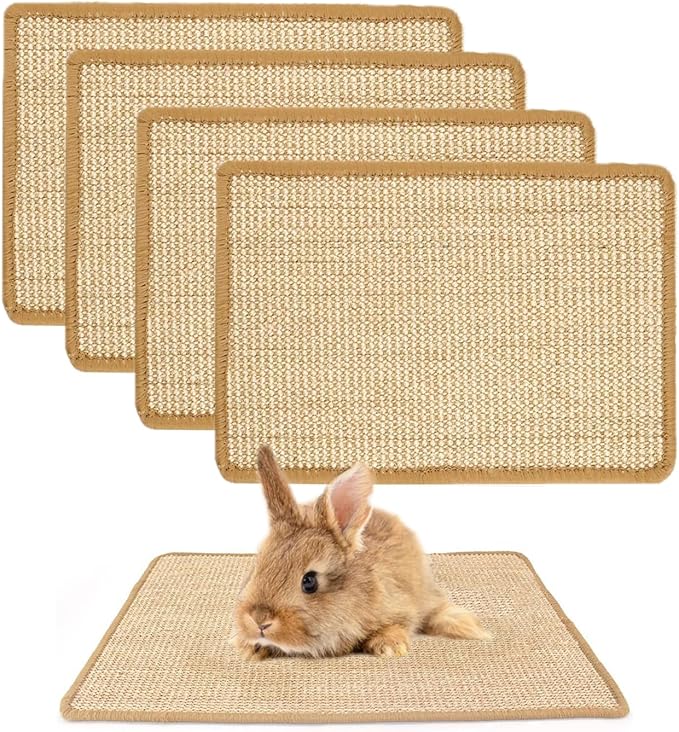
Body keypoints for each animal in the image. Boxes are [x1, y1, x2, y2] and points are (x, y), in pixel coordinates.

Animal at [231, 445, 491, 661]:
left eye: (309, 581)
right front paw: (248, 648)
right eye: (257, 567)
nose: (259, 620)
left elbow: (399, 624)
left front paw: (390, 646)